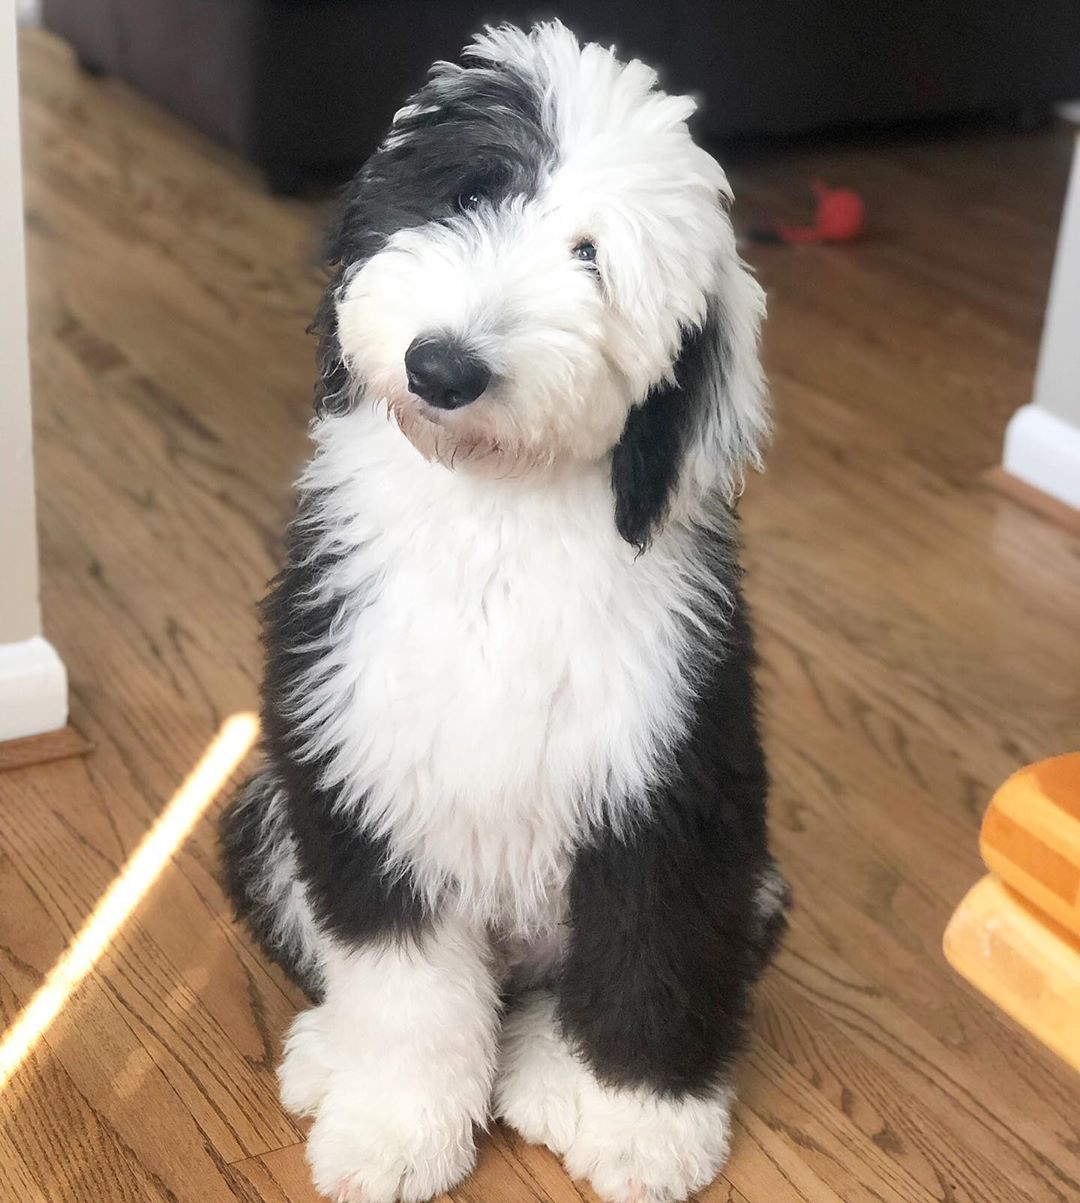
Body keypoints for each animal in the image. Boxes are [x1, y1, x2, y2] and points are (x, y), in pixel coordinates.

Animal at [218, 21, 788, 1203]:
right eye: (470, 192)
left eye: (591, 258)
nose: (442, 366)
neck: (494, 517)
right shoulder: (363, 773)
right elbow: (403, 991)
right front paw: (393, 1129)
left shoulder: (664, 784)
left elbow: (651, 957)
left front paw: (642, 1129)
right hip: (267, 814)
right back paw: (332, 1054)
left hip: (751, 878)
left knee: (592, 990)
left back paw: (552, 1074)